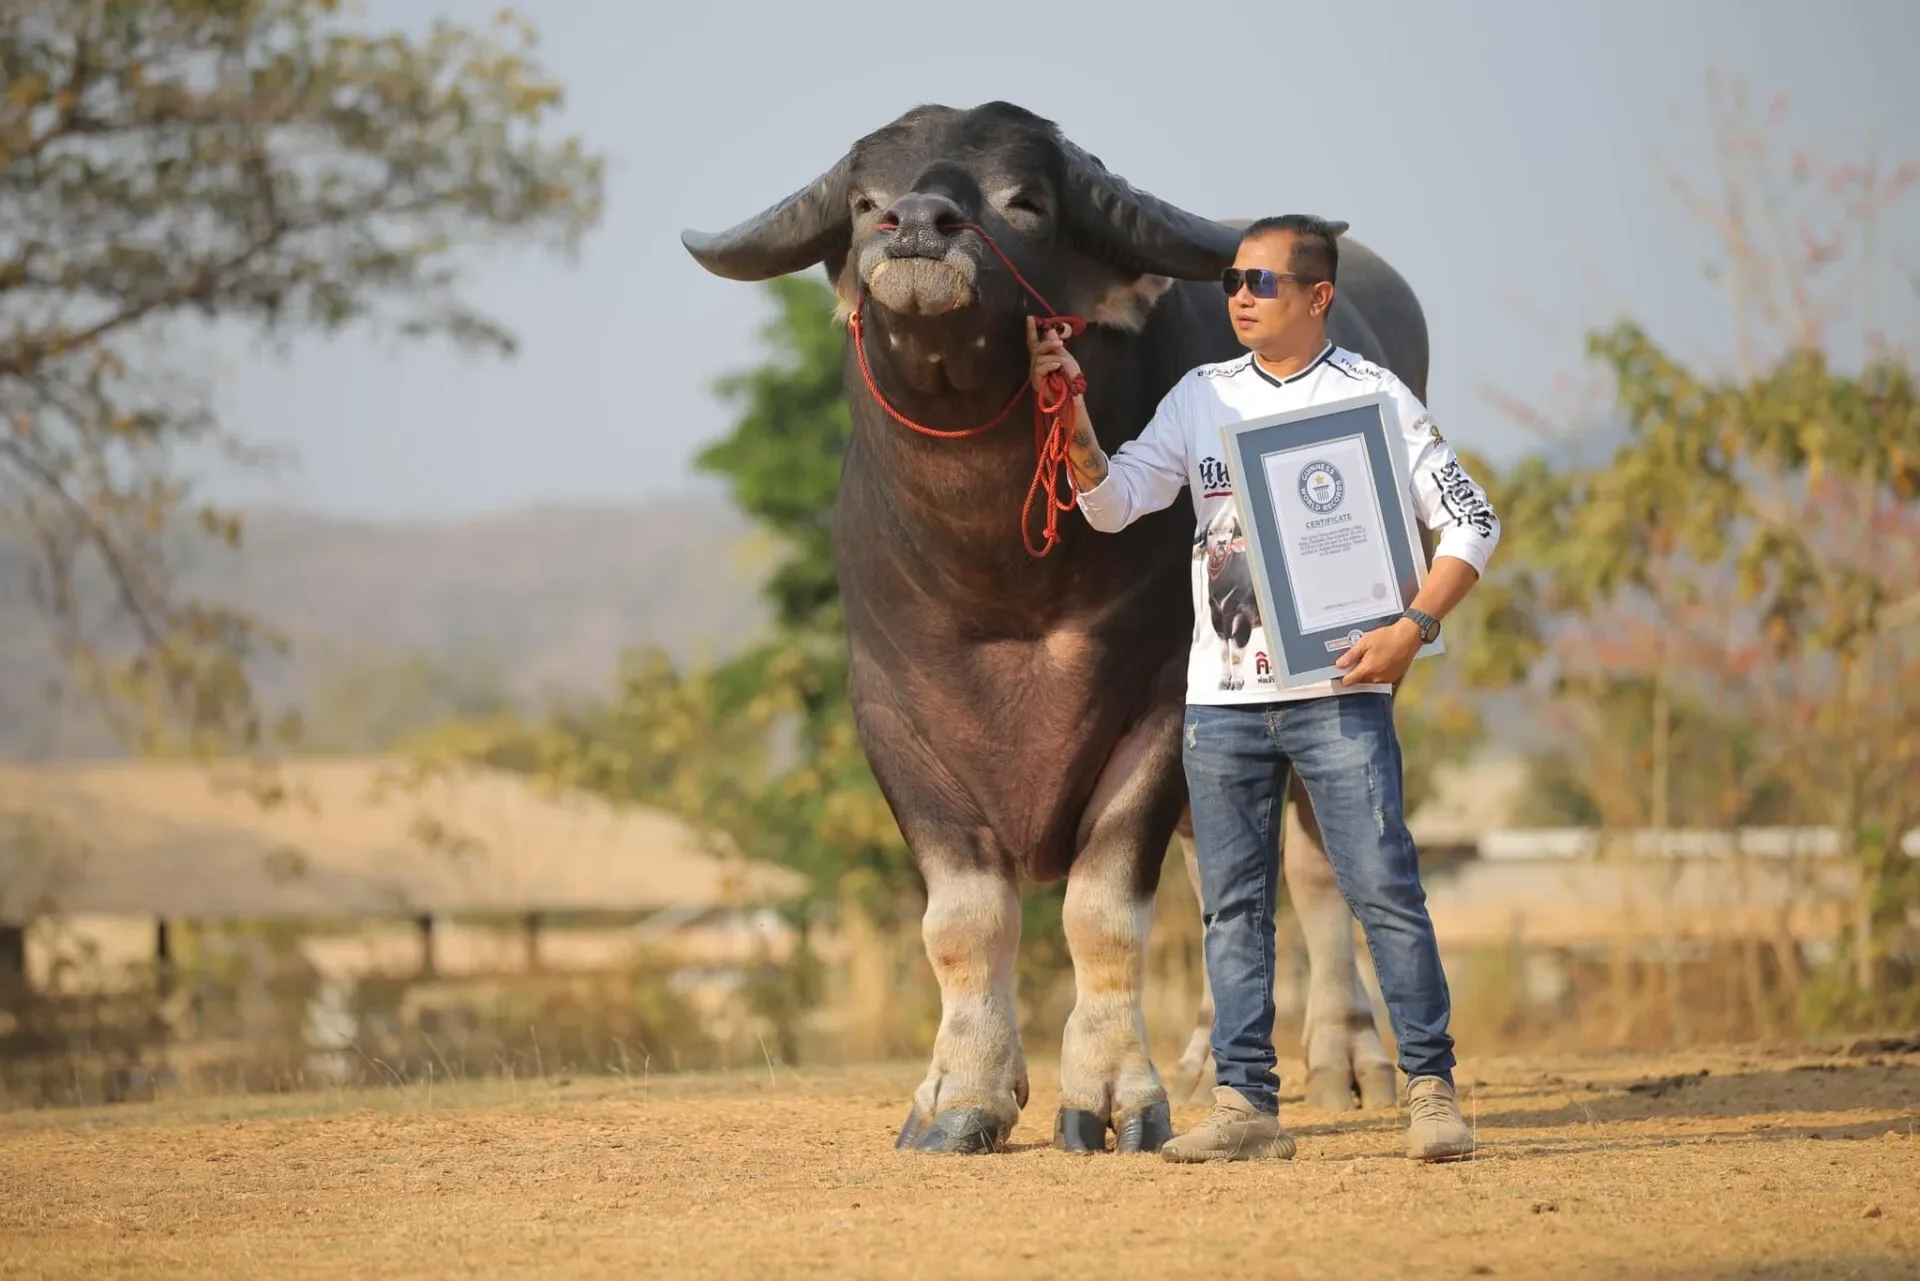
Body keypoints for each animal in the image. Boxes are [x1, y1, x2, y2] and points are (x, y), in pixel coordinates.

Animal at [683, 105, 1420, 1160]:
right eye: (864, 203)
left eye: (1024, 200)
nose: (917, 225)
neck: (1000, 573)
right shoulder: (890, 718)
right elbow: (962, 919)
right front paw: (962, 1095)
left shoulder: (1161, 707)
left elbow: (1103, 910)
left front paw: (1113, 1092)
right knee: (1220, 871)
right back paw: (1206, 1060)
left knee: (1321, 861)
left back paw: (1349, 1057)